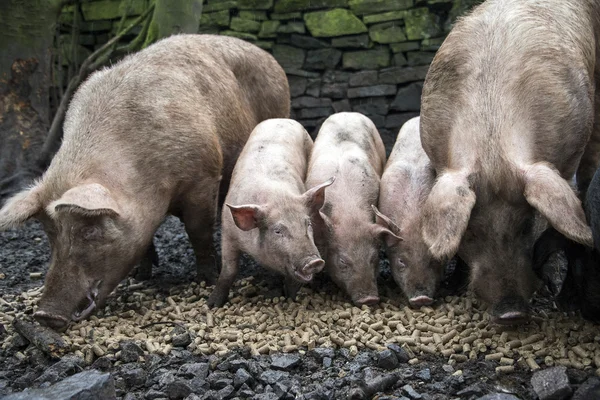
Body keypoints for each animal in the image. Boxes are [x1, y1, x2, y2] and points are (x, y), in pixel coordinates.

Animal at [0, 34, 288, 330]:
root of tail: (267, 56)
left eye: (89, 231)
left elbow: (199, 232)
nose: (46, 315)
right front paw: (142, 276)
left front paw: (206, 278)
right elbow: (145, 242)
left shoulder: (203, 178)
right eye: (49, 233)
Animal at [207, 119, 332, 306]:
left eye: (308, 224)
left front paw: (289, 297)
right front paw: (212, 305)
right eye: (278, 231)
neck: (277, 196)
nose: (314, 262)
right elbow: (229, 270)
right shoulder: (228, 232)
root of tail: (282, 119)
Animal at [420, 0, 596, 324]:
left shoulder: (564, 165)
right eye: (471, 230)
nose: (511, 311)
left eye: (527, 224)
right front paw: (452, 287)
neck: (492, 147)